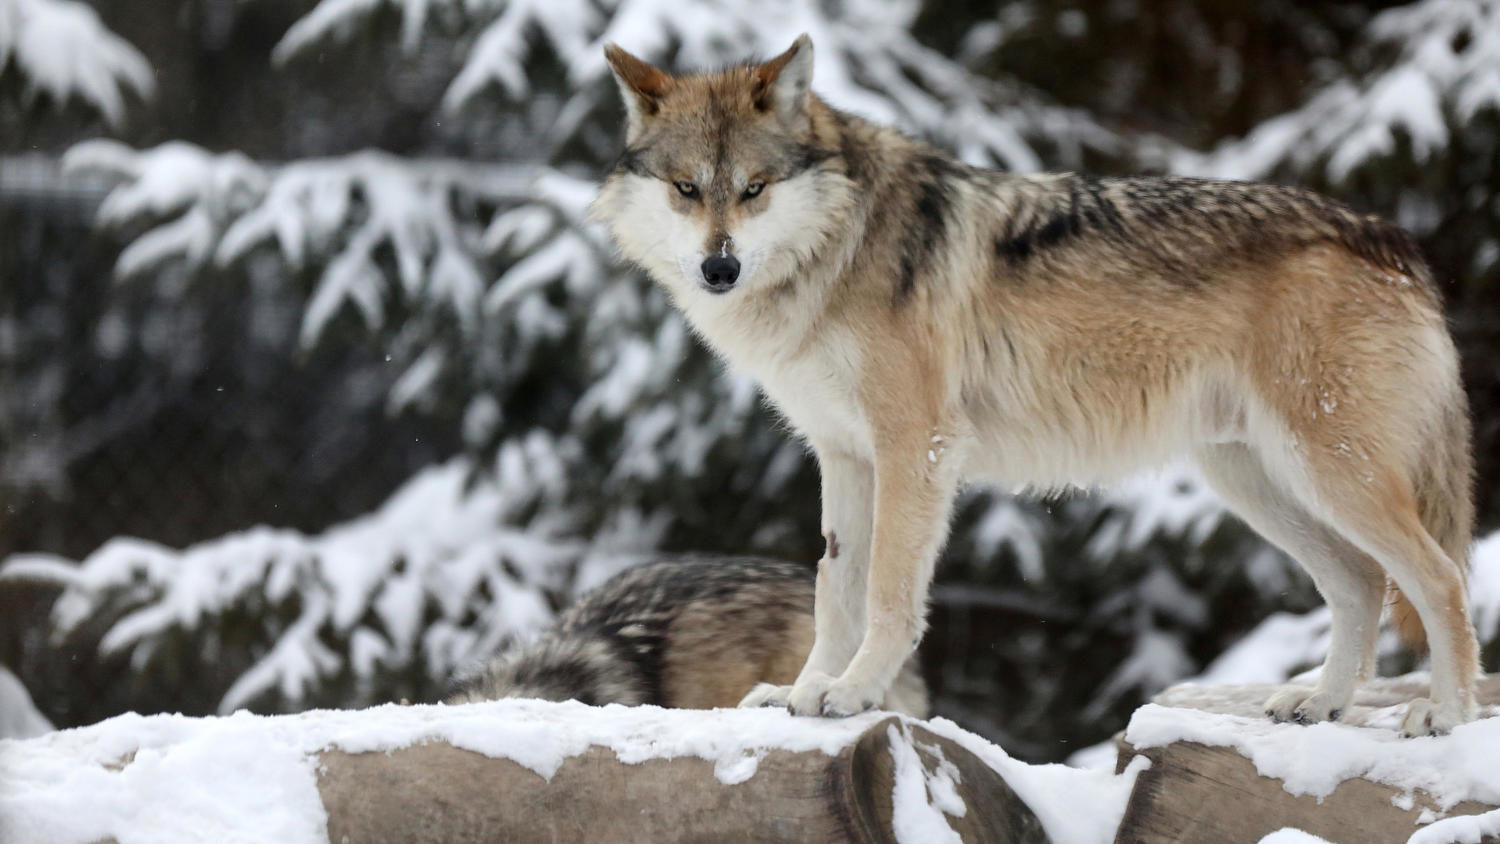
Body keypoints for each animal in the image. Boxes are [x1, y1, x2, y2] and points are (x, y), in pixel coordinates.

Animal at [589, 36, 1481, 736]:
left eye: (754, 188)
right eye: (686, 189)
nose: (720, 268)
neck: (837, 250)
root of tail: (1392, 241)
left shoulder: (917, 447)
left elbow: (886, 593)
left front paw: (854, 694)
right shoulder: (843, 457)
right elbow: (832, 590)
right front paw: (804, 692)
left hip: (1327, 472)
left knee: (1440, 577)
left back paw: (1445, 713)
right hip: (1257, 482)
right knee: (1363, 583)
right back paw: (1322, 704)